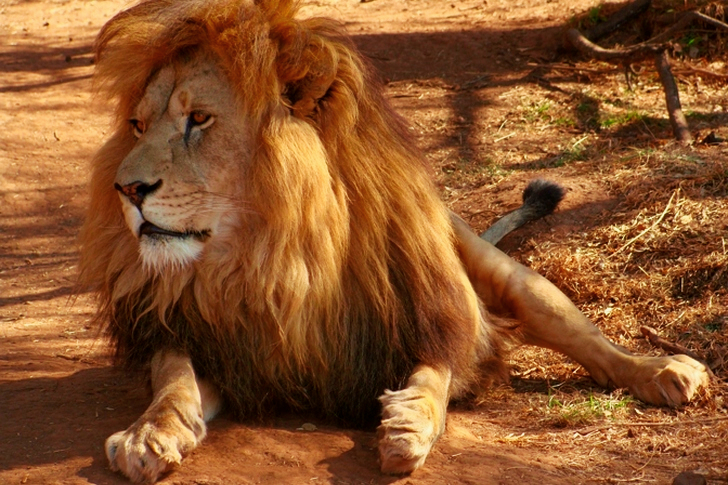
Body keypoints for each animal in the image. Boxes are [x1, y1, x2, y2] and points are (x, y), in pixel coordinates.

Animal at [78, 0, 710, 482]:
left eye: (201, 120)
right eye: (137, 125)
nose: (125, 189)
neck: (274, 257)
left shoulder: (433, 319)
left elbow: (435, 375)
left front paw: (408, 426)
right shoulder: (218, 345)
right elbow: (174, 381)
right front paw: (149, 434)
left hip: (509, 279)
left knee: (593, 344)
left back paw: (667, 372)